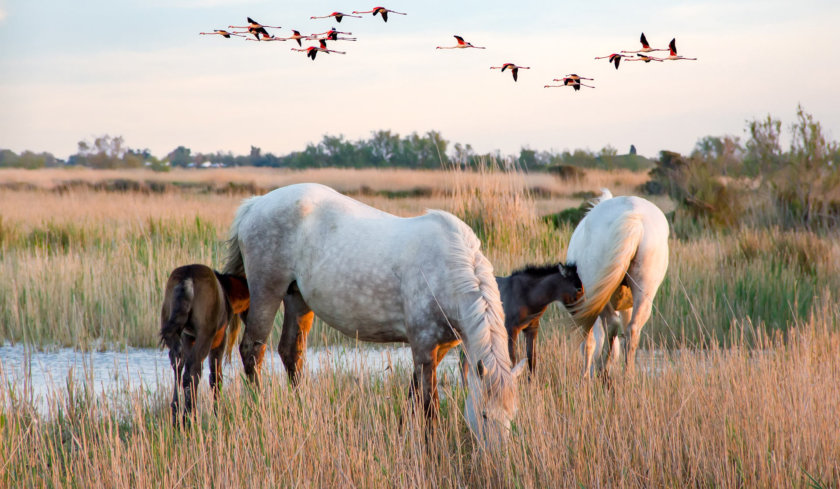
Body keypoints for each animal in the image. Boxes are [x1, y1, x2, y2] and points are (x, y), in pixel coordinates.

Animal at [158, 264, 248, 424]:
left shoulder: (189, 337)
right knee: (192, 370)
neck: (228, 292)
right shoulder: (219, 339)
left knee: (179, 364)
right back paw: (188, 418)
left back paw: (177, 414)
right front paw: (217, 414)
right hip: (206, 334)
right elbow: (215, 377)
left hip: (171, 328)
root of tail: (187, 279)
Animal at [223, 183, 524, 442]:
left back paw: (303, 411)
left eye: (512, 417)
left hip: (297, 298)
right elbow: (429, 404)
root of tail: (255, 204)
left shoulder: (438, 349)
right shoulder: (424, 346)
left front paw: (402, 433)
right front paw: (432, 446)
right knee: (253, 351)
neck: (449, 269)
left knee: (290, 352)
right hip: (267, 292)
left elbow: (414, 392)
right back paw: (260, 410)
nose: (495, 461)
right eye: (484, 415)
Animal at [564, 190, 668, 378]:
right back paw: (628, 375)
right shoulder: (627, 306)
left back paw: (602, 368)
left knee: (611, 324)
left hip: (596, 292)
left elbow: (588, 342)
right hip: (644, 292)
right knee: (632, 330)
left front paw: (584, 376)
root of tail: (635, 217)